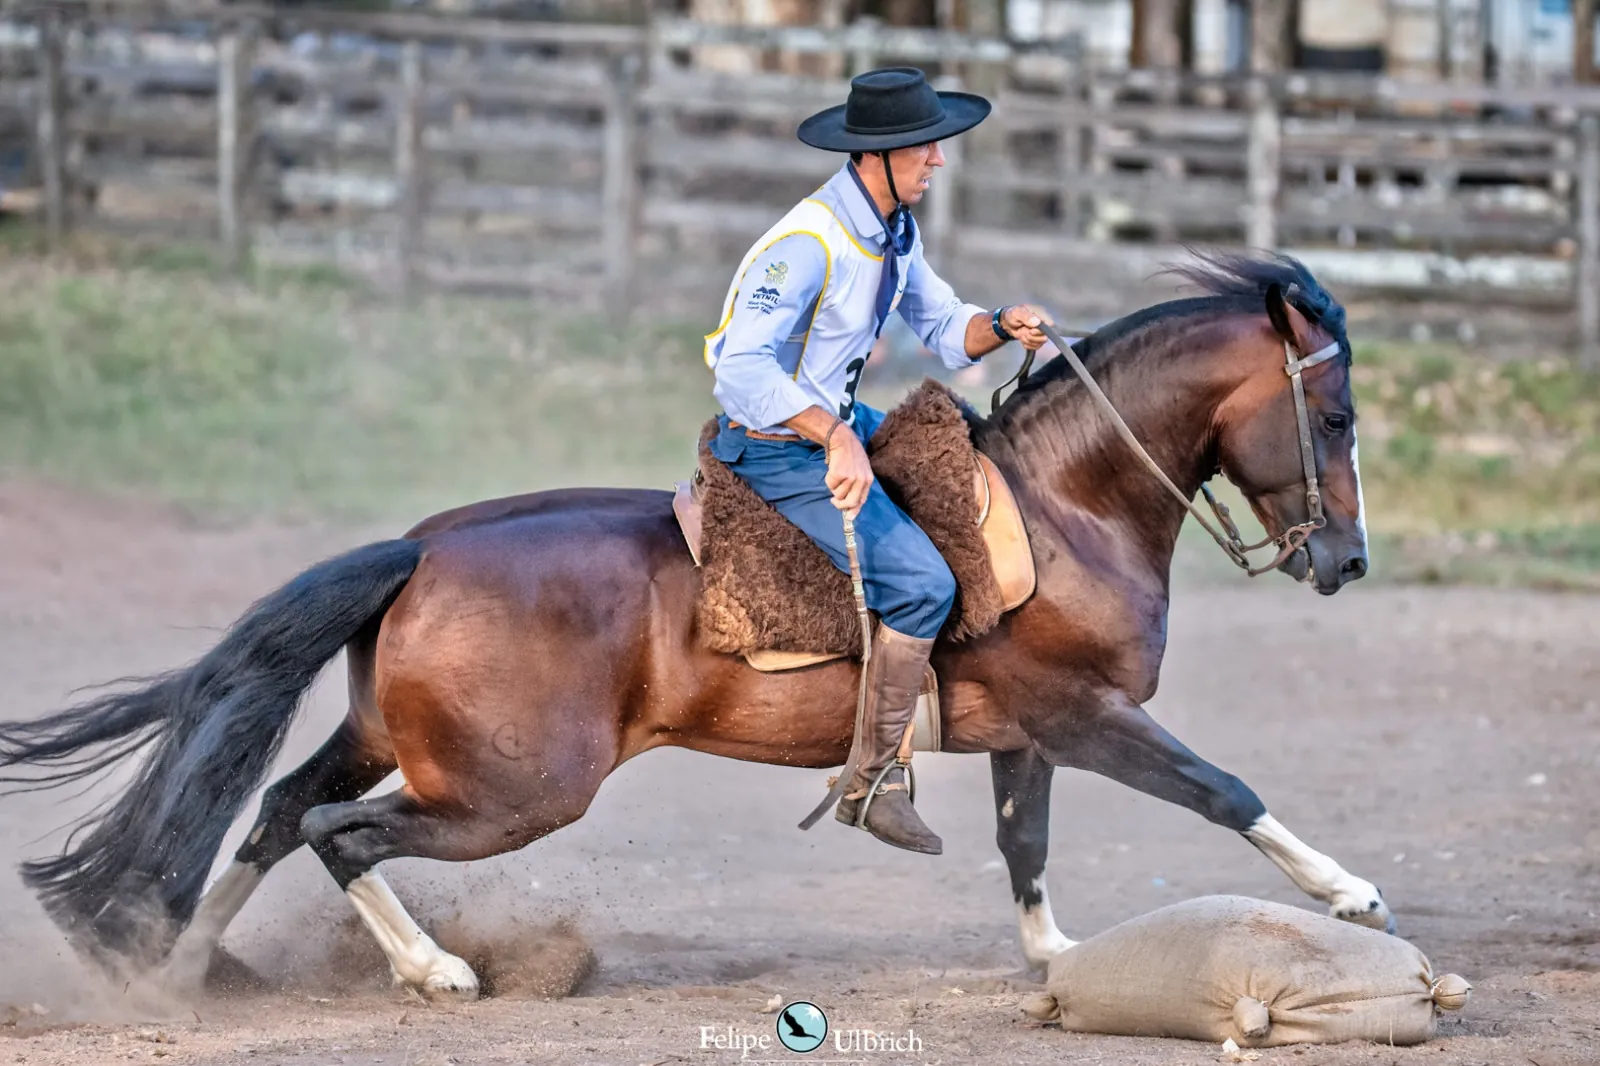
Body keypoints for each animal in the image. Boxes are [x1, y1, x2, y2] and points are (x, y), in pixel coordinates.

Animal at [0, 251, 1389, 1000]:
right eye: (1331, 419)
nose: (1347, 562)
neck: (1059, 509)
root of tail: (420, 547)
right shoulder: (1085, 713)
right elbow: (1222, 789)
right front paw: (1354, 894)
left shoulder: (1027, 733)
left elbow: (1024, 846)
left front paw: (1055, 958)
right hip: (511, 791)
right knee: (335, 833)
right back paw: (434, 971)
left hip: (390, 739)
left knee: (280, 810)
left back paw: (180, 969)